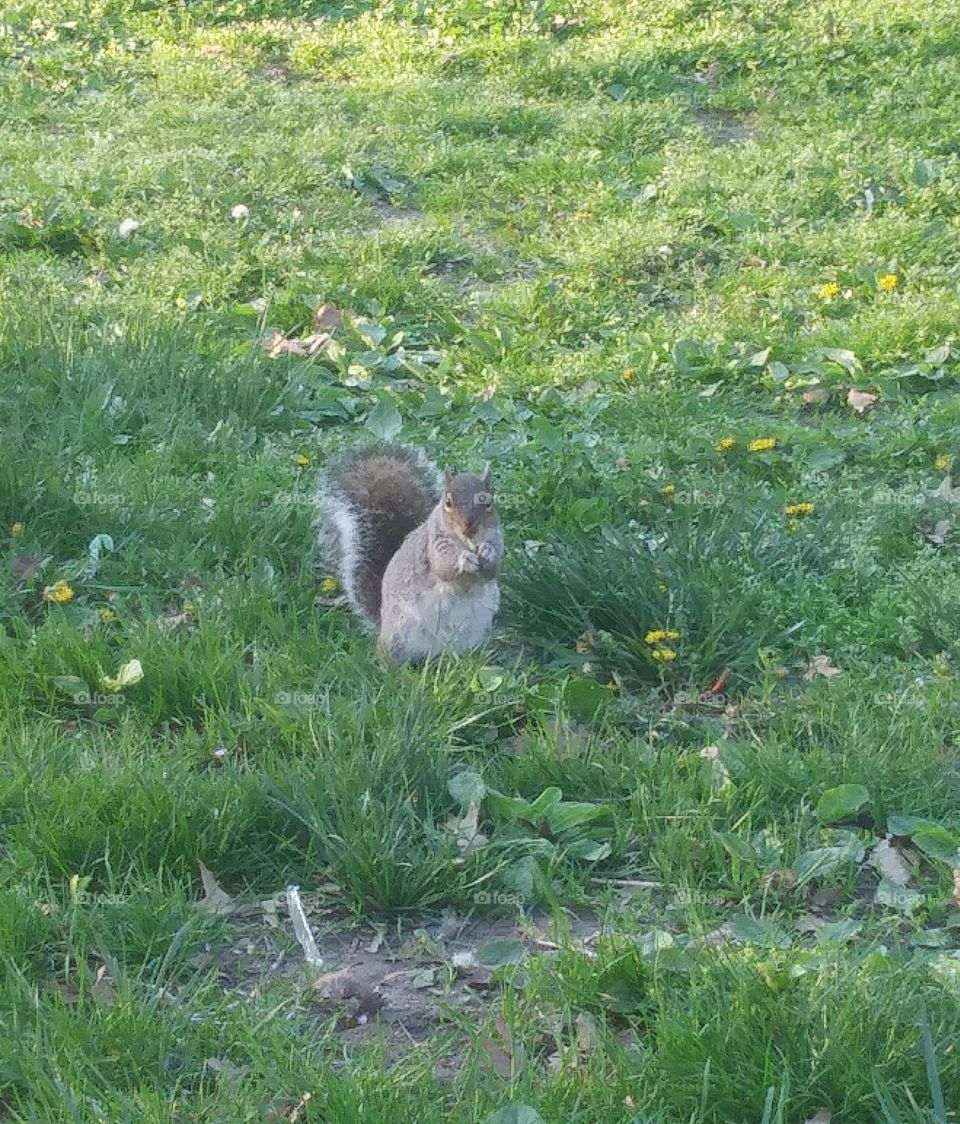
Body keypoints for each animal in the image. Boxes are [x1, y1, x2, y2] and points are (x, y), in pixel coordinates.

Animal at [319, 442, 508, 660]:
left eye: (488, 502)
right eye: (448, 502)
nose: (469, 528)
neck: (464, 540)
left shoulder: (497, 538)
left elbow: (493, 570)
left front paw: (487, 552)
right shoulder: (433, 545)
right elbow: (443, 566)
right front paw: (465, 559)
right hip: (397, 638)